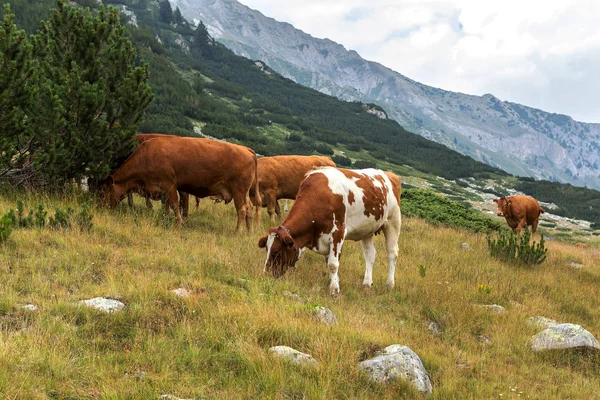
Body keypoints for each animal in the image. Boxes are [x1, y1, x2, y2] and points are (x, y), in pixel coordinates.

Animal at [101, 137, 260, 231]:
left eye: (102, 192)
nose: (100, 206)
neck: (147, 155)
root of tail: (246, 149)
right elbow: (168, 205)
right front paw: (167, 217)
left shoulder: (169, 184)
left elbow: (174, 204)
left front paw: (178, 223)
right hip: (244, 193)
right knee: (249, 209)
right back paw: (249, 231)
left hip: (239, 191)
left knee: (242, 210)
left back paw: (238, 231)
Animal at [258, 167, 404, 296]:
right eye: (266, 249)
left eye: (276, 251)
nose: (265, 274)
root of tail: (390, 174)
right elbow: (328, 260)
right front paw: (335, 282)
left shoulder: (338, 233)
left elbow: (333, 264)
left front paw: (334, 290)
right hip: (366, 228)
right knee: (370, 255)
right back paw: (367, 284)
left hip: (393, 221)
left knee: (392, 253)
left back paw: (389, 284)